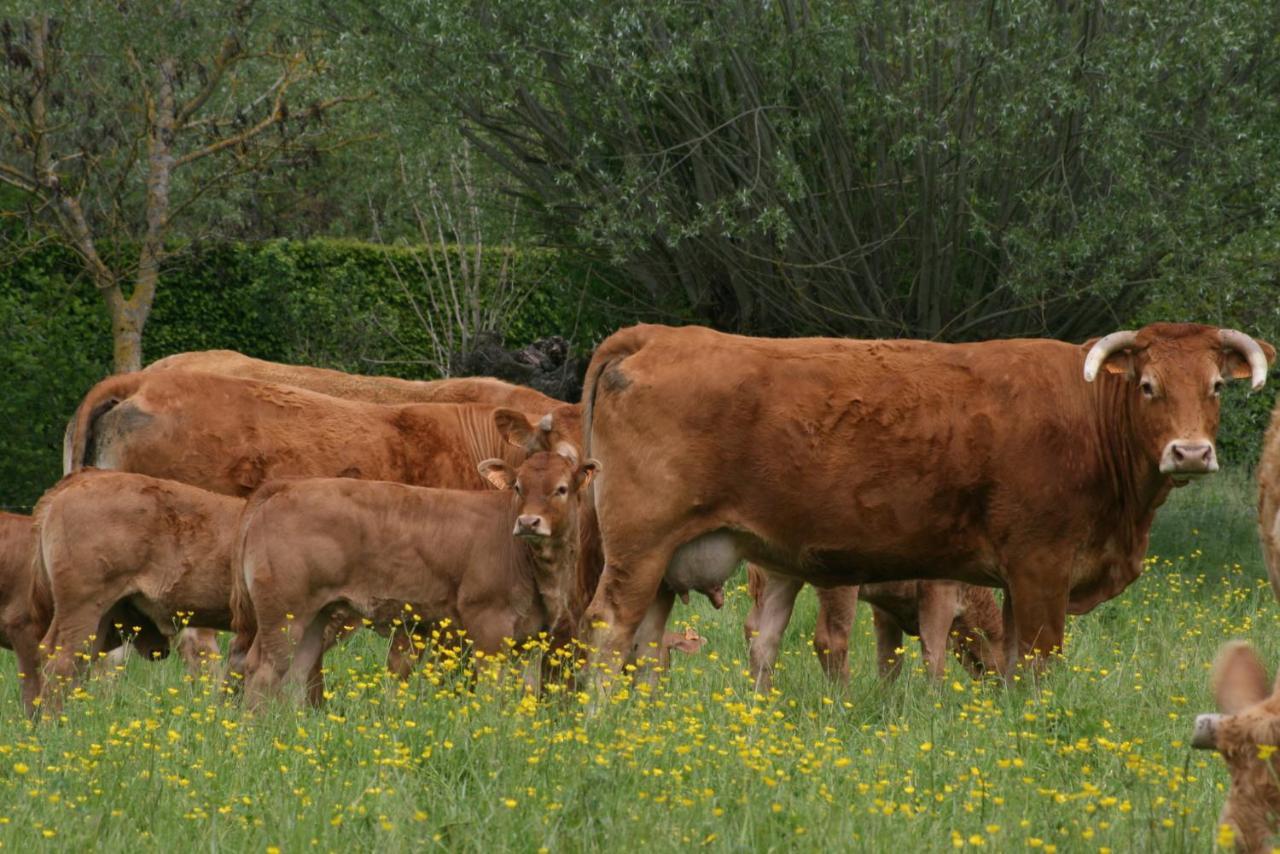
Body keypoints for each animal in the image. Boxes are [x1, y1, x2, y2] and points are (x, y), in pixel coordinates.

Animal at [238, 440, 596, 706]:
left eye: (561, 488)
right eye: (519, 487)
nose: (528, 522)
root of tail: (285, 488)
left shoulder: (527, 635)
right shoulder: (489, 625)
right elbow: (490, 691)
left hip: (317, 615)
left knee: (296, 672)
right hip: (285, 615)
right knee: (263, 671)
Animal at [581, 320, 1269, 686]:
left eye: (1215, 386)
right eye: (1148, 386)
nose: (1190, 452)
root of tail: (659, 335)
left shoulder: (1016, 581)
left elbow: (1011, 664)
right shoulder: (1041, 568)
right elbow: (1039, 664)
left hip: (676, 564)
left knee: (657, 641)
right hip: (640, 549)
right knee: (608, 628)